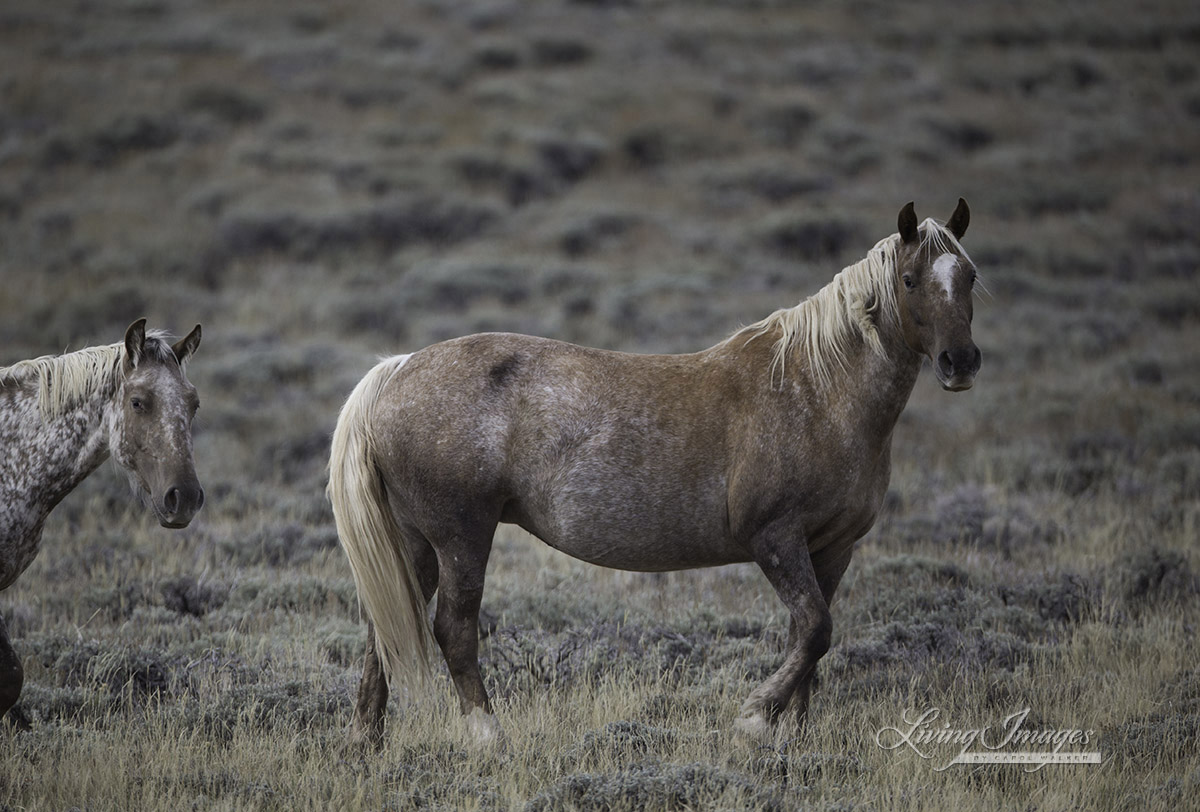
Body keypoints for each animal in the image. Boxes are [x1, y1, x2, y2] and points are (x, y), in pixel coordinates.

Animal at [326, 199, 974, 743]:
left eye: (968, 276)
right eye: (909, 280)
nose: (960, 362)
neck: (817, 389)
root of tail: (398, 369)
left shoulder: (833, 547)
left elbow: (811, 638)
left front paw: (794, 730)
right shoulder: (776, 538)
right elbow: (816, 629)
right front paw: (753, 717)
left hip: (417, 541)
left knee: (386, 629)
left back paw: (366, 742)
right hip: (461, 536)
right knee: (453, 630)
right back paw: (487, 735)